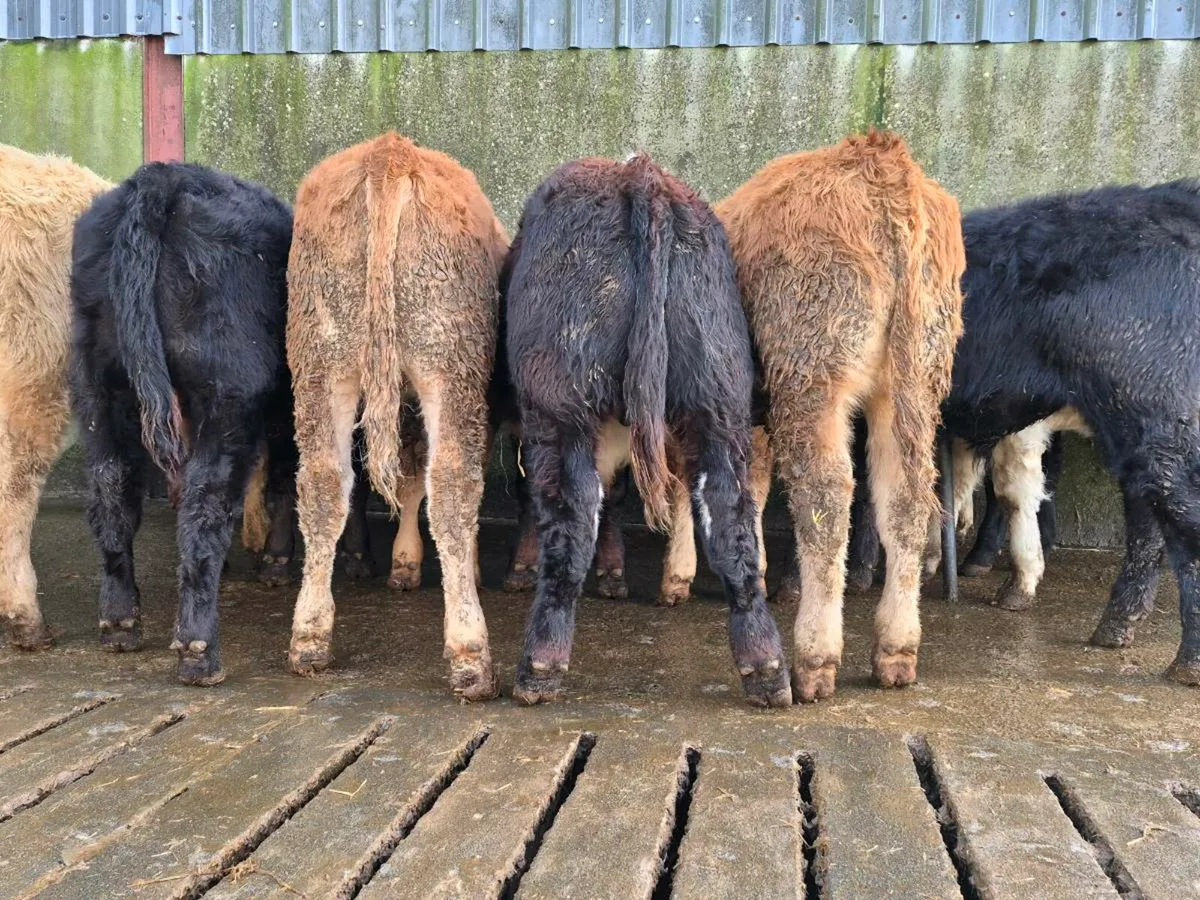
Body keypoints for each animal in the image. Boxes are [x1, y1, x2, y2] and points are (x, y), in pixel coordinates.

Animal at [70, 161, 293, 685]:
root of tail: (165, 175)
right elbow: (285, 477)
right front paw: (276, 560)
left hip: (98, 388)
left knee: (111, 490)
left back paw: (119, 623)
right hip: (229, 391)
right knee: (204, 501)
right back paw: (198, 650)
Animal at [286, 132, 508, 700]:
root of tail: (390, 153)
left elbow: (406, 477)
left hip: (324, 361)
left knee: (324, 484)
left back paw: (309, 639)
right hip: (449, 365)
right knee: (451, 483)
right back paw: (471, 655)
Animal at [503, 153, 791, 708]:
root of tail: (640, 177)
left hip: (560, 407)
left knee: (570, 514)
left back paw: (539, 666)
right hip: (717, 401)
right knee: (732, 519)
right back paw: (765, 667)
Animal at [718, 132, 966, 702]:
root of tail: (881, 162)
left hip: (812, 378)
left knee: (826, 500)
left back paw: (815, 660)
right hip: (912, 384)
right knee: (904, 500)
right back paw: (896, 650)